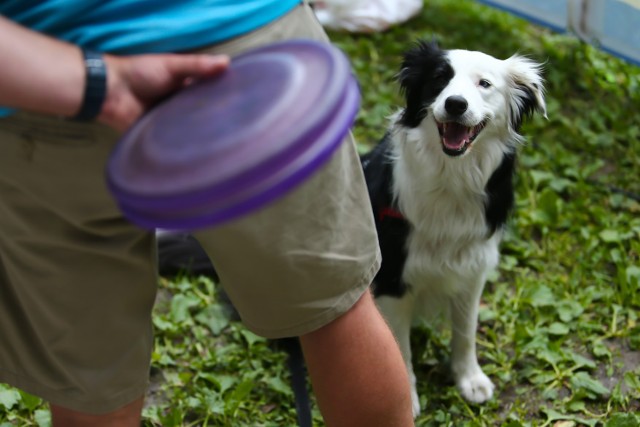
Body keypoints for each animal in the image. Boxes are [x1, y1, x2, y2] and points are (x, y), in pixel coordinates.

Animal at [362, 41, 548, 416]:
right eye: (439, 77)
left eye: (484, 84)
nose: (455, 104)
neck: (451, 178)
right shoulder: (393, 277)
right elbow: (399, 347)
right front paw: (406, 398)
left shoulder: (471, 268)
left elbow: (465, 331)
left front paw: (470, 379)